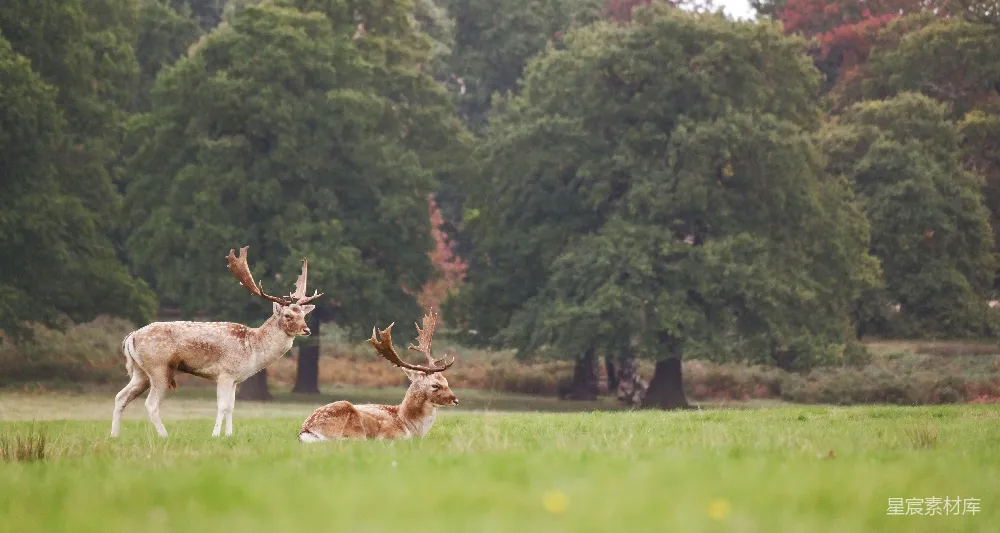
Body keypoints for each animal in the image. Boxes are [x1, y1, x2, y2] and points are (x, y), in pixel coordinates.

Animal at [110, 246, 323, 438]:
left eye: (303, 315)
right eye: (288, 315)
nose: (307, 330)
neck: (253, 348)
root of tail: (131, 337)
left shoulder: (236, 379)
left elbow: (231, 407)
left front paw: (228, 435)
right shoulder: (225, 373)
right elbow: (222, 406)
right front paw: (215, 435)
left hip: (140, 372)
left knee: (120, 396)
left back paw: (114, 435)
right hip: (159, 368)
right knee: (151, 404)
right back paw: (164, 435)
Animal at [298, 311, 457, 442]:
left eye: (446, 381)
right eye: (435, 385)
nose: (455, 400)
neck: (408, 424)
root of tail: (306, 431)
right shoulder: (390, 436)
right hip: (353, 428)